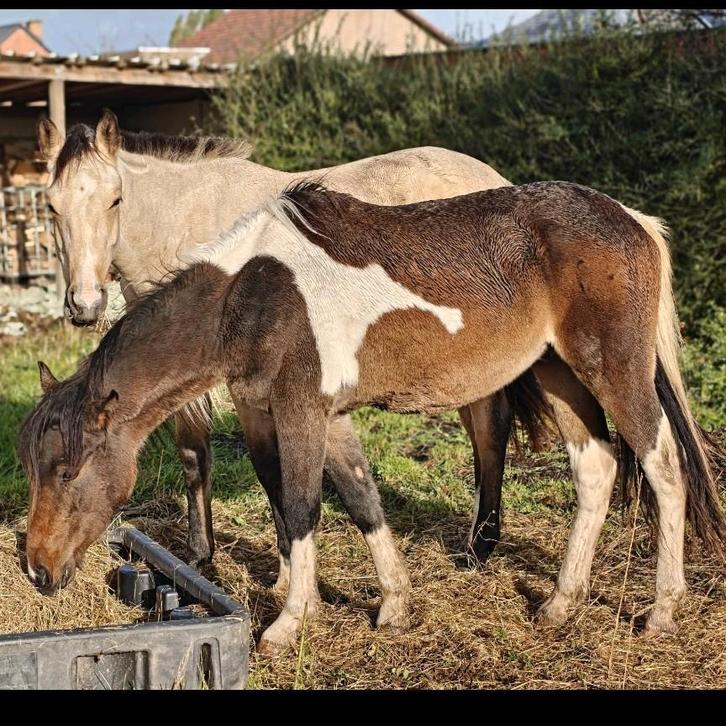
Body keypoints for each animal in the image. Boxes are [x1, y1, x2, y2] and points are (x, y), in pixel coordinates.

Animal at [20, 180, 724, 653]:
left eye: (68, 470)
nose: (36, 570)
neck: (251, 293)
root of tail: (632, 219)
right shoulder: (315, 417)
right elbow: (358, 499)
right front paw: (393, 604)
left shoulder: (302, 410)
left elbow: (302, 506)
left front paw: (290, 621)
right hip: (558, 375)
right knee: (598, 470)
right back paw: (559, 604)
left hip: (613, 370)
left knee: (663, 467)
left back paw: (661, 610)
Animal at [36, 109, 533, 578]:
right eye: (52, 206)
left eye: (115, 199)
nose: (85, 304)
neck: (188, 226)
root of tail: (497, 181)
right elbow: (194, 456)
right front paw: (200, 557)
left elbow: (269, 468)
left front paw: (285, 570)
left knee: (491, 431)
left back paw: (479, 549)